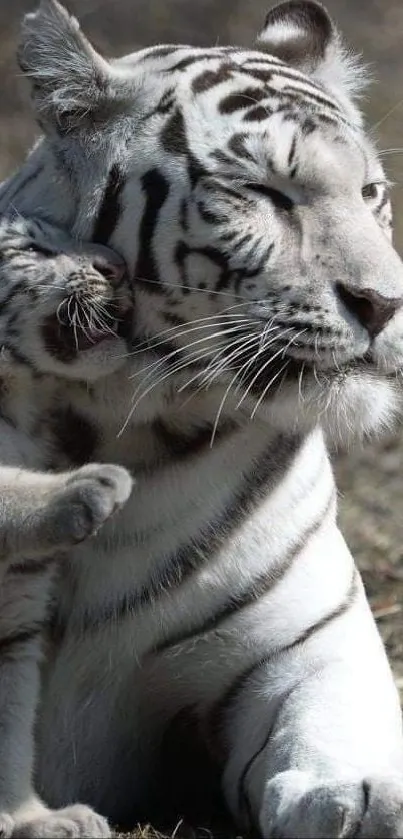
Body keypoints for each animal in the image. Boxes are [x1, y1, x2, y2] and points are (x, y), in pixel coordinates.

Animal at [2, 0, 403, 836]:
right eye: (262, 192)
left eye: (370, 193)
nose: (384, 303)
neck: (110, 426)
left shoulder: (305, 642)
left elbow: (334, 729)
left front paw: (357, 799)